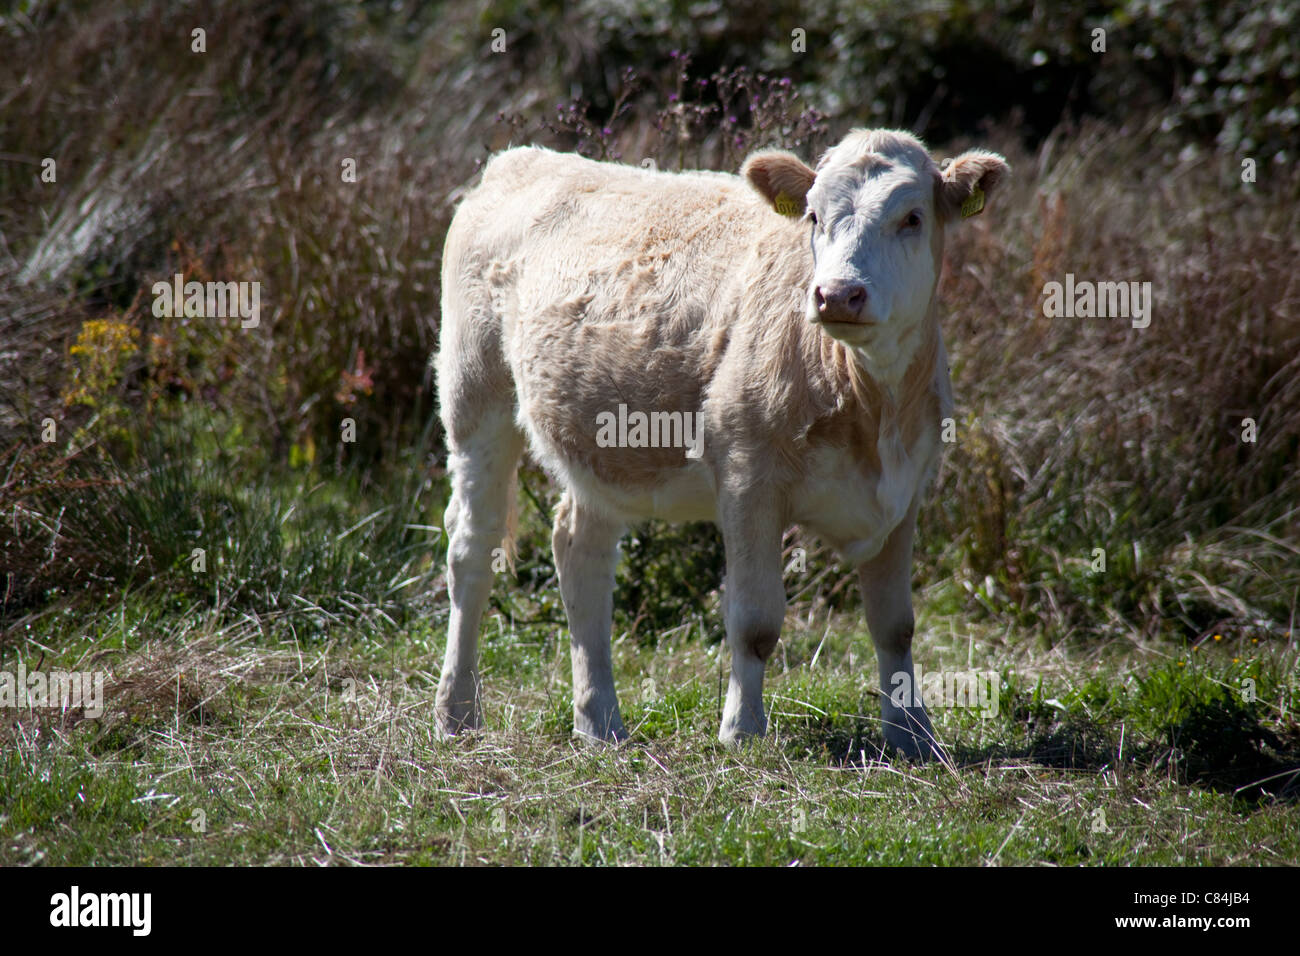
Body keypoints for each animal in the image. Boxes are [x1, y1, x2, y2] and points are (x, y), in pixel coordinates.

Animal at [434, 127, 1003, 759]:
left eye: (912, 217)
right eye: (813, 215)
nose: (836, 295)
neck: (868, 404)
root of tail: (522, 158)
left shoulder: (905, 490)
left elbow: (895, 624)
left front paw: (912, 734)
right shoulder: (748, 478)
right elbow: (755, 621)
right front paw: (742, 730)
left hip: (596, 445)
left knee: (579, 549)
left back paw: (599, 721)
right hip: (474, 398)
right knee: (471, 549)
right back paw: (457, 712)